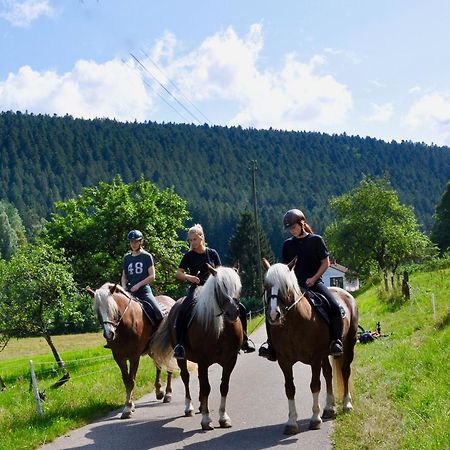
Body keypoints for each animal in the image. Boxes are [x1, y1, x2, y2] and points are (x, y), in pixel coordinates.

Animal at [87, 284, 175, 420]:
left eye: (112, 309)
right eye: (98, 312)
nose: (108, 334)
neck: (125, 326)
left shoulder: (134, 356)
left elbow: (131, 380)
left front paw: (128, 408)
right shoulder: (119, 357)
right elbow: (126, 380)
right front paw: (130, 405)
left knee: (169, 368)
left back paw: (168, 394)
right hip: (153, 350)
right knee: (158, 366)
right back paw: (159, 391)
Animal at [150, 266, 243, 430]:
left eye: (238, 287)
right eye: (219, 287)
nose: (233, 312)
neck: (220, 330)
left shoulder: (230, 360)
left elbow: (223, 387)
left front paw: (223, 418)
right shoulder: (203, 361)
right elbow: (206, 388)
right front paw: (206, 420)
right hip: (182, 358)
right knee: (186, 378)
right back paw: (189, 408)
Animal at [264, 258, 358, 434]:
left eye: (286, 286)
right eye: (267, 286)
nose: (273, 315)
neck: (294, 324)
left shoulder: (314, 358)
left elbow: (314, 385)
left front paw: (315, 419)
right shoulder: (284, 361)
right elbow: (290, 388)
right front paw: (291, 422)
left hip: (349, 344)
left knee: (345, 371)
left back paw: (346, 404)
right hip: (325, 354)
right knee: (328, 373)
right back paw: (329, 408)